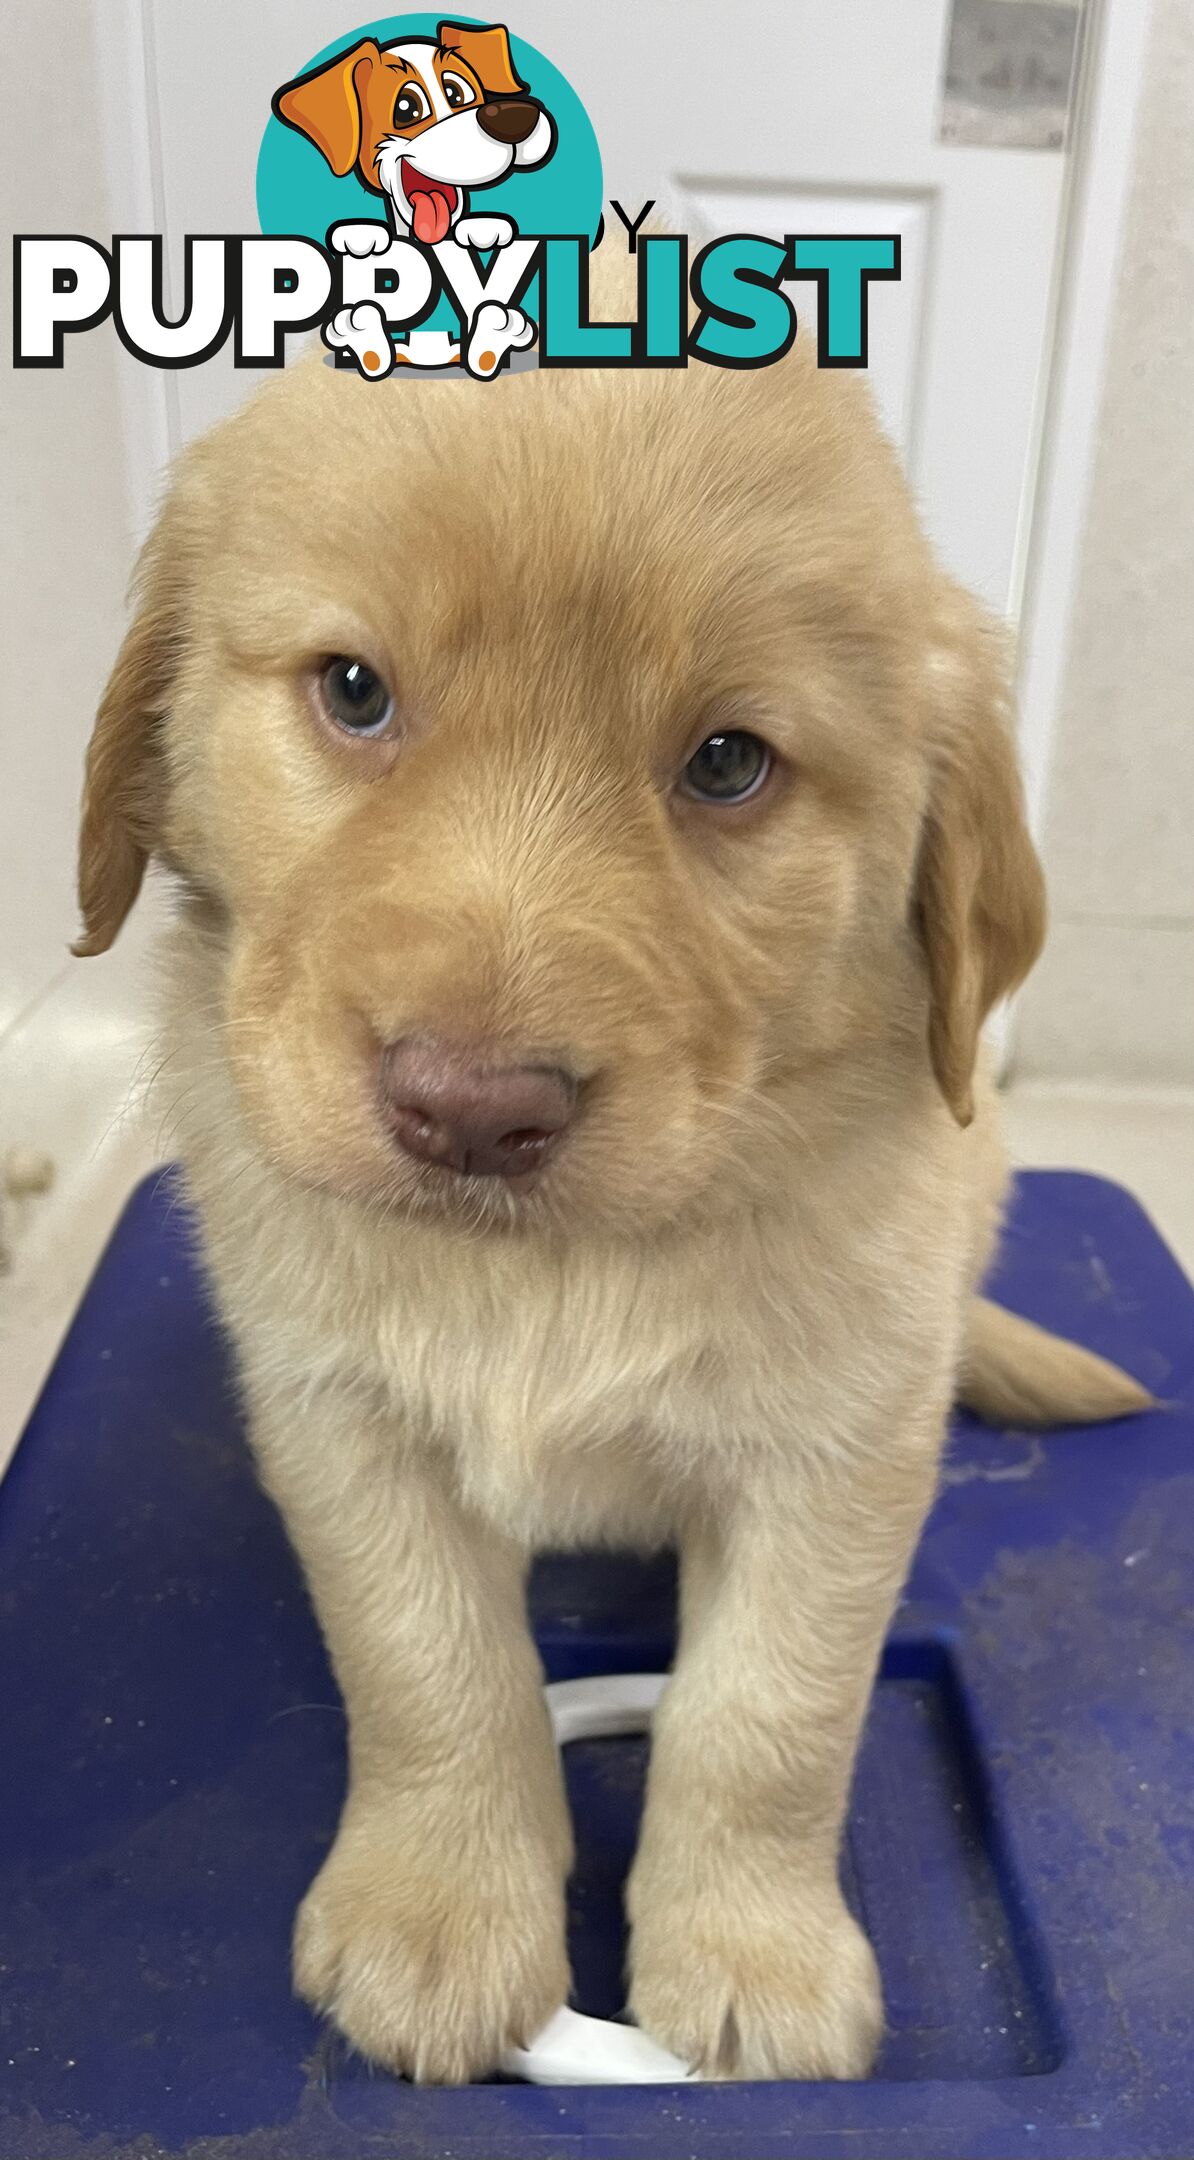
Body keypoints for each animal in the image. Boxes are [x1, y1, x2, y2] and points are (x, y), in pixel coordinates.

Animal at [76, 295, 1148, 2082]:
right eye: (353, 692)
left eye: (726, 764)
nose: (469, 1109)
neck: (557, 1268)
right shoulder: (336, 1414)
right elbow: (430, 1668)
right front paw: (439, 1919)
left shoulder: (839, 1450)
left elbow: (768, 1715)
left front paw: (755, 1958)